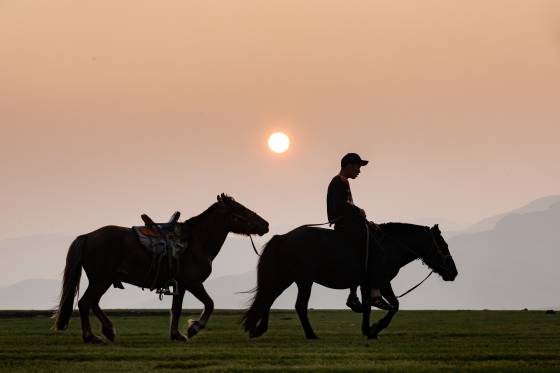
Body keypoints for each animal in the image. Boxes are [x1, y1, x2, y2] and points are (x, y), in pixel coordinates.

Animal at [53, 195, 270, 342]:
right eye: (241, 209)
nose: (265, 224)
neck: (197, 241)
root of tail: (88, 236)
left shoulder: (180, 285)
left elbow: (176, 309)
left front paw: (176, 334)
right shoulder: (193, 283)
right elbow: (209, 304)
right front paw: (193, 328)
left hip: (103, 280)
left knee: (93, 303)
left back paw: (108, 330)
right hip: (101, 280)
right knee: (85, 303)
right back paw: (91, 336)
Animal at [243, 222, 458, 338]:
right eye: (444, 245)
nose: (454, 273)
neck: (390, 247)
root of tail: (284, 237)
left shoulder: (366, 283)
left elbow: (368, 306)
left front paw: (367, 329)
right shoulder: (382, 281)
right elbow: (394, 305)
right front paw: (376, 328)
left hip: (286, 278)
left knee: (268, 299)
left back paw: (259, 329)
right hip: (304, 280)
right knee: (299, 306)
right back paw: (311, 335)